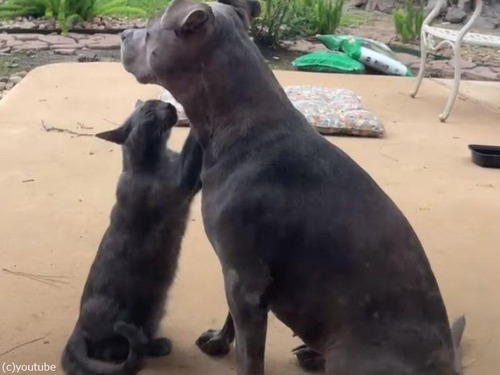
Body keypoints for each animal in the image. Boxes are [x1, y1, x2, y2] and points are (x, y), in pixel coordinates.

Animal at [61, 100, 202, 375]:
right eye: (149, 111)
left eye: (158, 103)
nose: (169, 105)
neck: (159, 158)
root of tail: (76, 325)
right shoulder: (181, 183)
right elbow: (192, 149)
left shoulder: (192, 183)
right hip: (127, 313)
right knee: (113, 348)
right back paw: (155, 347)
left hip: (157, 307)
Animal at [123, 1, 466, 374]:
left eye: (150, 29)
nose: (123, 33)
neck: (235, 122)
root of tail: (449, 363)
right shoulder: (241, 278)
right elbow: (231, 319)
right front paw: (218, 340)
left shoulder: (243, 279)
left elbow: (249, 355)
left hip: (352, 355)